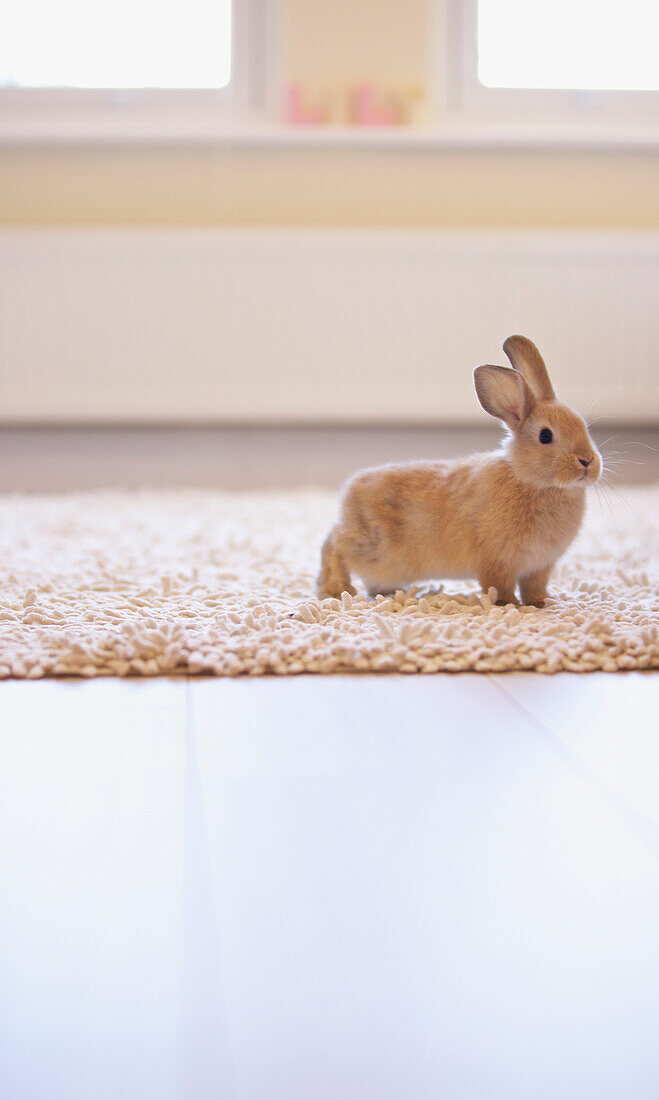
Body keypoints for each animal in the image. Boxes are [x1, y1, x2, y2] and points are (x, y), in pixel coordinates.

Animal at [319, 336, 602, 611]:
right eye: (545, 436)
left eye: (584, 427)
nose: (587, 462)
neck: (530, 479)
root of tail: (350, 490)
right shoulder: (498, 561)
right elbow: (498, 585)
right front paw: (508, 604)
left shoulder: (539, 567)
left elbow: (533, 587)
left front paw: (542, 602)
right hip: (370, 544)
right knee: (333, 543)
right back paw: (334, 588)